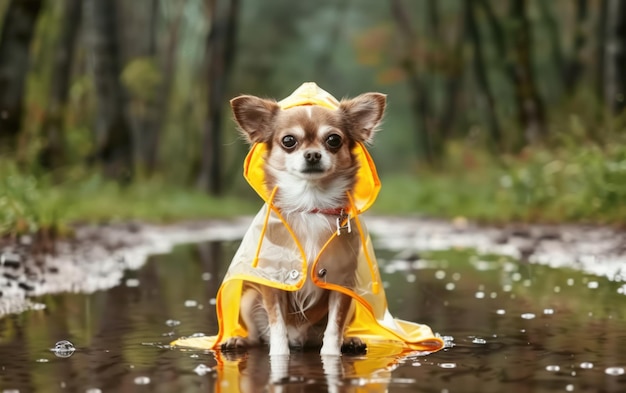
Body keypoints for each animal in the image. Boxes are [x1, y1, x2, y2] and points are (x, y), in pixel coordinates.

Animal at [222, 88, 382, 356]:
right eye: (289, 141)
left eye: (333, 140)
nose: (313, 154)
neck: (310, 205)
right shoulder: (273, 282)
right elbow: (277, 327)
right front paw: (279, 356)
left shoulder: (341, 285)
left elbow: (334, 328)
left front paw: (331, 356)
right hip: (249, 298)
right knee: (257, 337)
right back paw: (238, 340)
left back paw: (350, 340)